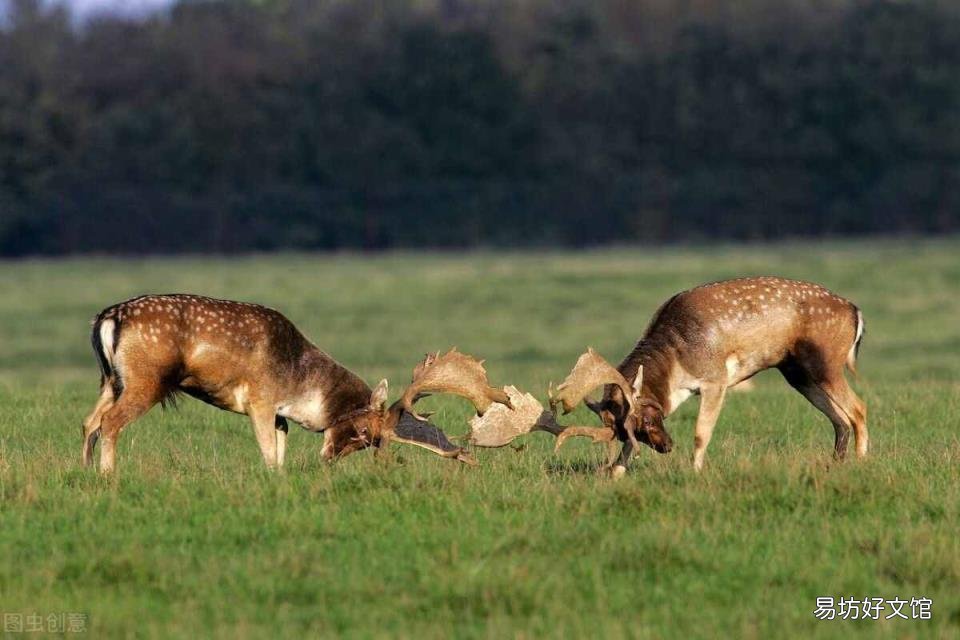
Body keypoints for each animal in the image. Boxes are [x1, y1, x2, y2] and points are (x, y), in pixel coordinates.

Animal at [80, 294, 510, 470]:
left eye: (366, 443)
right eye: (364, 432)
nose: (328, 459)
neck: (299, 386)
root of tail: (107, 318)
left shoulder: (279, 413)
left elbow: (281, 445)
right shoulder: (259, 398)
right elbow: (269, 452)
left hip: (110, 380)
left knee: (88, 422)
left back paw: (84, 473)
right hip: (146, 379)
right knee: (111, 423)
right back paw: (108, 475)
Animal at [468, 276, 868, 476]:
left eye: (647, 419)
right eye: (625, 431)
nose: (666, 446)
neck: (677, 361)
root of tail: (856, 311)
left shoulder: (716, 379)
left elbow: (702, 432)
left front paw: (694, 471)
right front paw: (617, 472)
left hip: (825, 362)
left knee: (858, 409)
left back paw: (862, 462)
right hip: (796, 372)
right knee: (839, 419)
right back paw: (836, 463)